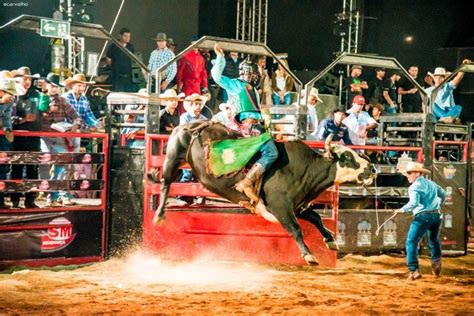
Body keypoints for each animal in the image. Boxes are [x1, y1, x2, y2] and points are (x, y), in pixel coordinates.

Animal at [150, 121, 376, 264]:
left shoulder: (298, 206)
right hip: (172, 159)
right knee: (165, 184)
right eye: (347, 157)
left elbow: (317, 218)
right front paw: (308, 255)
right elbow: (296, 229)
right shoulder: (280, 206)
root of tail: (189, 126)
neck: (304, 169)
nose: (372, 169)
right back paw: (159, 215)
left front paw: (331, 240)